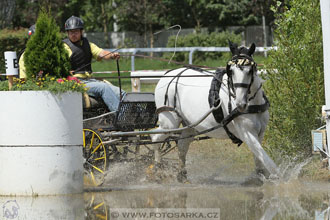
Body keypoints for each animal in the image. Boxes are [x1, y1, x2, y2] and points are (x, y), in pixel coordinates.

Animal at [151, 42, 278, 183]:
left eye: (250, 70)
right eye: (231, 71)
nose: (240, 104)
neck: (252, 103)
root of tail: (168, 74)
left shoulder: (260, 133)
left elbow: (259, 158)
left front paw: (261, 176)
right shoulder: (247, 133)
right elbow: (267, 160)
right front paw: (281, 179)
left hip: (190, 125)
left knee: (182, 146)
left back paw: (181, 175)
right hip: (169, 123)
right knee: (155, 138)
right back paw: (158, 170)